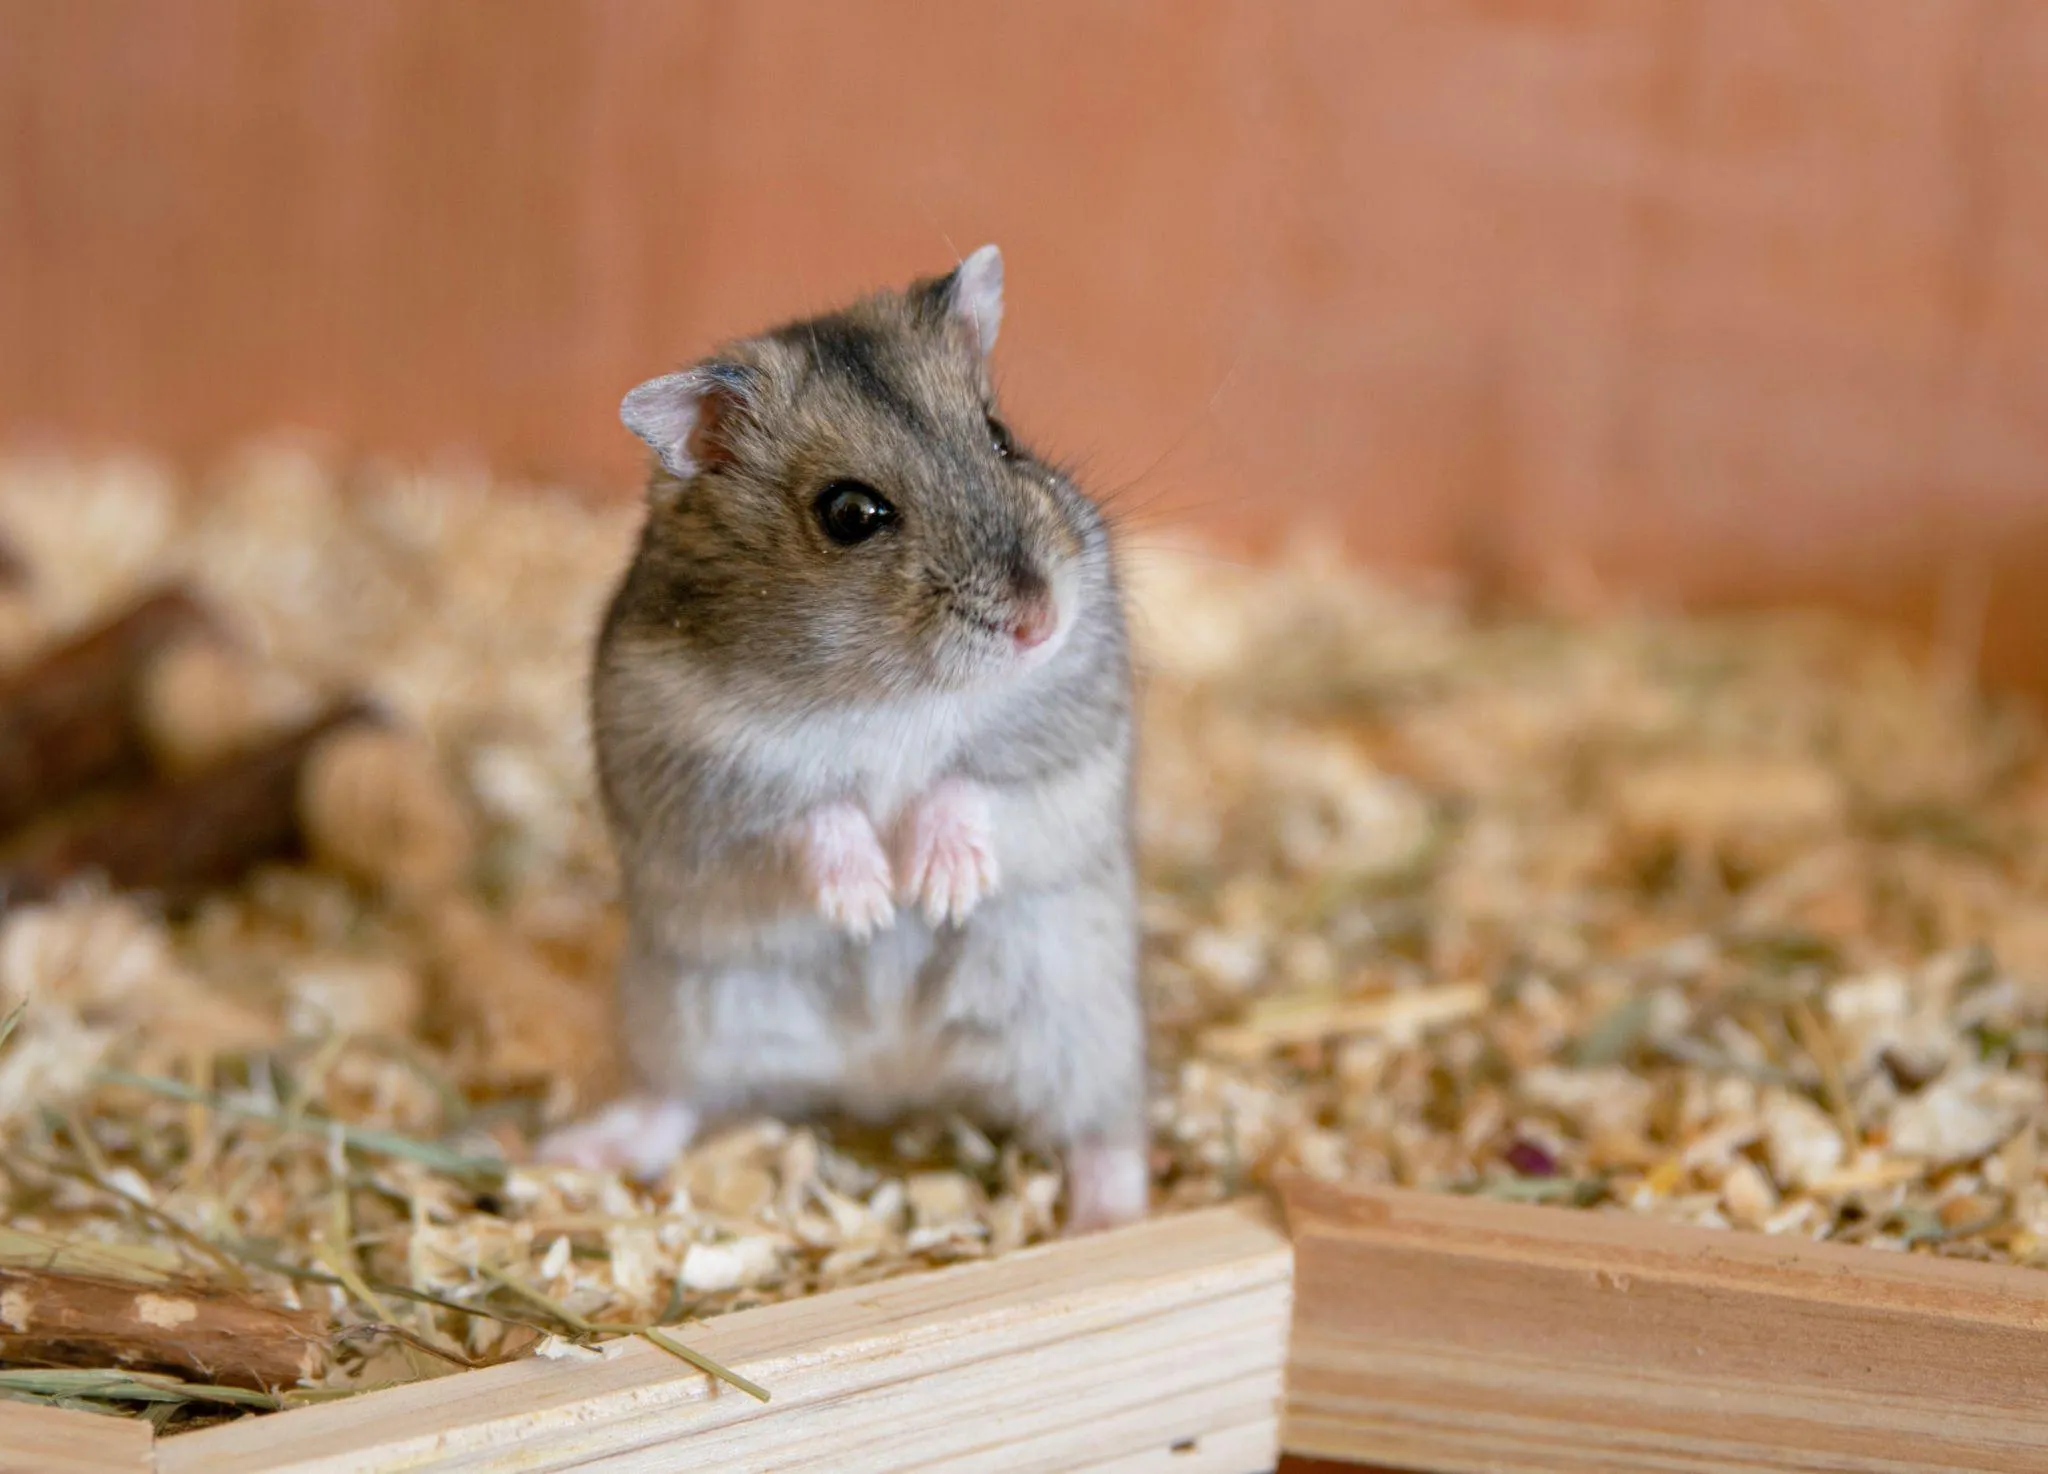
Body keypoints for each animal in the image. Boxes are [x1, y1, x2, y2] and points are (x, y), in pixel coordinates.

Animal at [537, 246, 1148, 1233]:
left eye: (1000, 436)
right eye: (850, 513)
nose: (1039, 622)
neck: (891, 689)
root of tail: (887, 1078)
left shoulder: (1068, 730)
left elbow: (970, 782)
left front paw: (937, 891)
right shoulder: (700, 772)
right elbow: (811, 812)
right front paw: (869, 906)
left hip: (1082, 1019)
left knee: (1107, 1132)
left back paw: (1109, 1222)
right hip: (688, 1014)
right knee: (673, 1101)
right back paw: (570, 1151)